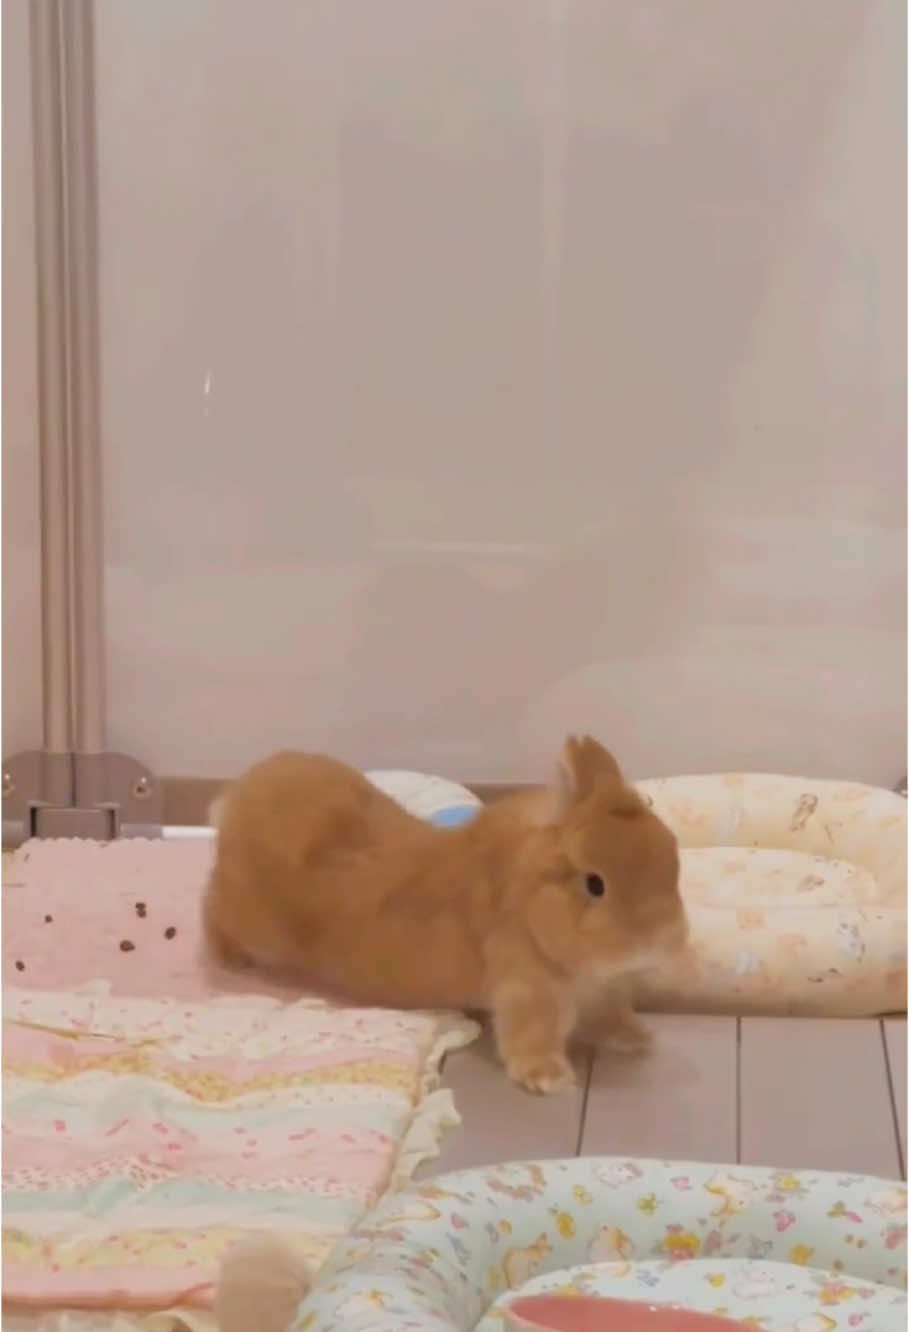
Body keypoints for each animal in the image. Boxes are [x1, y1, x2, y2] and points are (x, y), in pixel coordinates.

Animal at [202, 734, 688, 1095]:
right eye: (594, 884)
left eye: (672, 862)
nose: (664, 939)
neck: (532, 899)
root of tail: (237, 797)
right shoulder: (529, 991)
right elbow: (533, 1034)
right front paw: (548, 1079)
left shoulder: (601, 992)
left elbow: (611, 1016)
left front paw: (639, 1038)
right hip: (249, 916)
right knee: (210, 905)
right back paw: (228, 960)